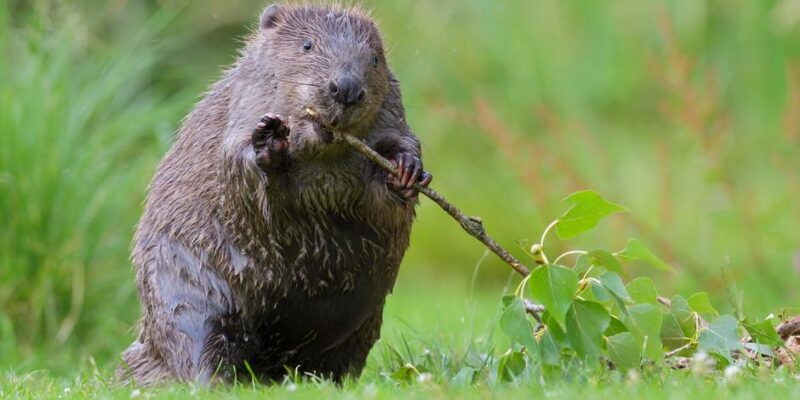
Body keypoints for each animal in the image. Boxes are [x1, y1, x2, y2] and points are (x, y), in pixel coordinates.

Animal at [119, 3, 432, 384]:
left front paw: (407, 170)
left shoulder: (390, 109)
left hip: (363, 326)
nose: (346, 88)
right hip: (184, 284)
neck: (323, 152)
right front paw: (270, 142)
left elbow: (394, 156)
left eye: (375, 58)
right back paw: (214, 379)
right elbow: (236, 164)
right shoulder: (240, 105)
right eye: (308, 45)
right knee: (197, 336)